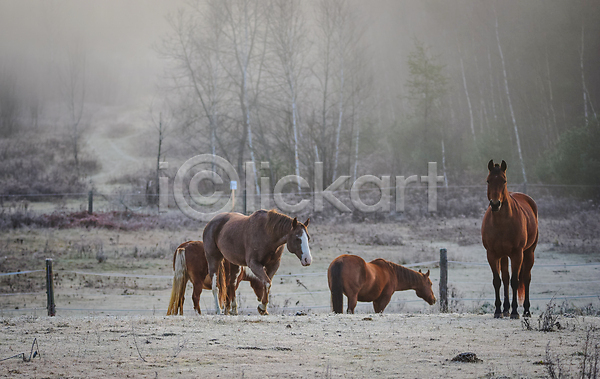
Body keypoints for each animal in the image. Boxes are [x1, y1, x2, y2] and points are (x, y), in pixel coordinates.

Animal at [482, 160, 540, 320]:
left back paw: (526, 311)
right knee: (506, 278)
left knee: (526, 278)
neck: (502, 224)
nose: (495, 204)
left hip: (529, 253)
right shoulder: (492, 254)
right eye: (488, 180)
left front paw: (515, 312)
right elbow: (498, 281)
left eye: (504, 181)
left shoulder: (517, 254)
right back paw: (505, 309)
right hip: (503, 256)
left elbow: (515, 281)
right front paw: (498, 311)